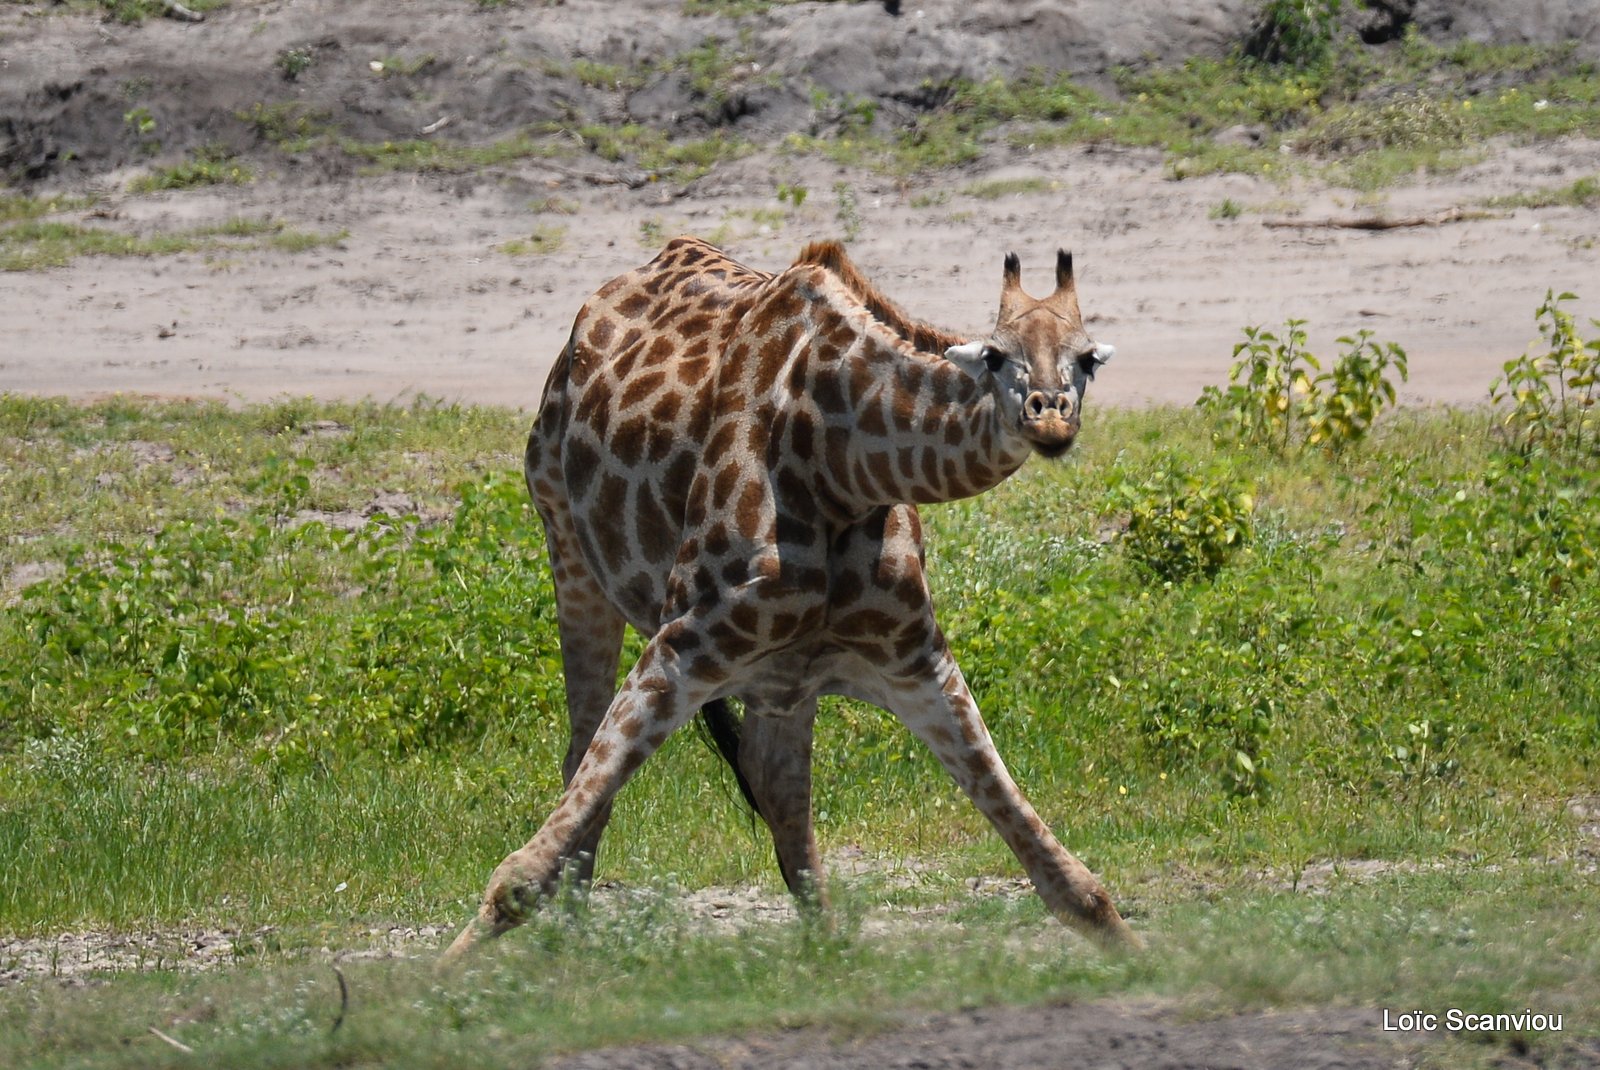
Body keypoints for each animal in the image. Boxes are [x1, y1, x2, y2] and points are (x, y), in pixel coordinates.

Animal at [441, 238, 1139, 966]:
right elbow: (517, 875)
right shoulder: (682, 644)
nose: (1050, 417)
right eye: (997, 355)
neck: (842, 466)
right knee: (583, 756)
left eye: (1086, 358)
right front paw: (436, 982)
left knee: (775, 786)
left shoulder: (912, 662)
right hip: (570, 556)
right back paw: (575, 943)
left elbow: (1069, 881)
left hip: (781, 678)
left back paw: (822, 947)